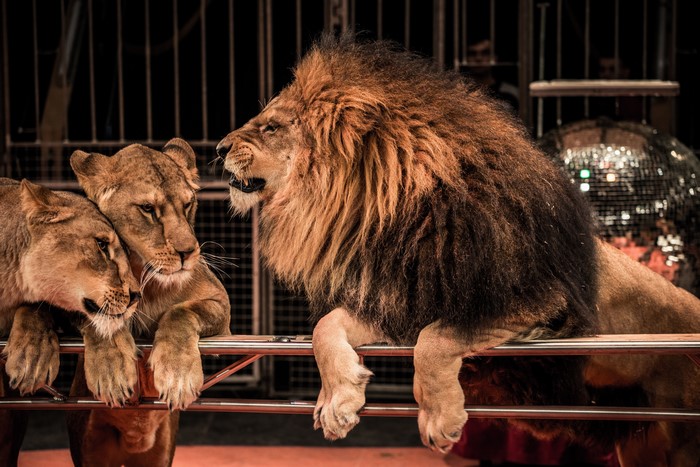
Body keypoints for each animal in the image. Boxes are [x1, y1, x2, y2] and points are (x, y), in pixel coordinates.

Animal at [14, 139, 231, 466]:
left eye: (188, 204)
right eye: (147, 209)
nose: (188, 252)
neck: (146, 277)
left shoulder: (221, 306)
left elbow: (180, 312)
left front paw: (177, 373)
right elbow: (60, 310)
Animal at [216, 33, 700, 464]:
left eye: (272, 127)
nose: (218, 148)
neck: (399, 214)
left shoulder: (537, 305)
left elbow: (436, 340)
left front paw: (439, 419)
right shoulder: (402, 303)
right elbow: (325, 327)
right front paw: (338, 400)